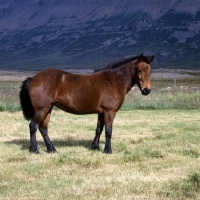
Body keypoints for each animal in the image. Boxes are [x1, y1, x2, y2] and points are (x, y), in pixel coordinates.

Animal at [19, 54, 154, 154]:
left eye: (150, 71)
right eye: (139, 70)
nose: (146, 90)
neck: (114, 80)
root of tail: (33, 78)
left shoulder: (101, 112)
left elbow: (99, 129)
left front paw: (95, 147)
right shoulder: (110, 112)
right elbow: (108, 131)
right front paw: (108, 150)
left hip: (48, 109)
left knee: (43, 128)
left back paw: (52, 149)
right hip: (42, 109)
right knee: (33, 126)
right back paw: (35, 149)